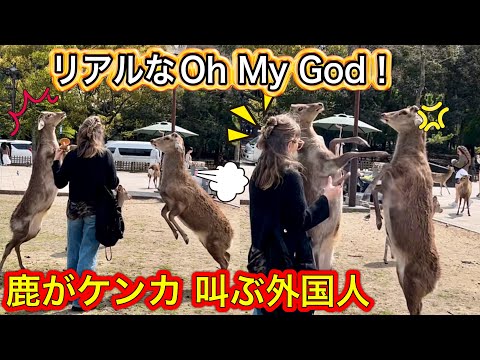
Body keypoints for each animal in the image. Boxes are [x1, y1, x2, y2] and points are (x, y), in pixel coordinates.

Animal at [0, 111, 66, 272]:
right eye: (49, 115)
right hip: (22, 229)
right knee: (8, 245)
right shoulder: (50, 155)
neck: (51, 144)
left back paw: (22, 266)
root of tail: (11, 223)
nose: (62, 113)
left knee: (16, 246)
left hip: (33, 232)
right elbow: (60, 151)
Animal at [150, 132, 232, 270]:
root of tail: (231, 237)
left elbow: (170, 215)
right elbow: (163, 213)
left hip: (213, 244)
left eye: (167, 138)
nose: (152, 140)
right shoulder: (168, 202)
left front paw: (185, 237)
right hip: (209, 244)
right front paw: (176, 234)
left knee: (224, 262)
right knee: (228, 256)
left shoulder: (182, 202)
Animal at [288, 102, 390, 270]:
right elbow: (349, 154)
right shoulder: (326, 165)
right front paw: (382, 153)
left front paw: (362, 141)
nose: (320, 104)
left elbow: (334, 140)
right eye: (300, 108)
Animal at [360, 105, 442, 316]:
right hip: (401, 276)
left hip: (412, 282)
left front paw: (368, 202)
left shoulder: (398, 181)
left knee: (415, 308)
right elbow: (377, 188)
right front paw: (378, 221)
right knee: (419, 306)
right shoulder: (388, 187)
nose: (383, 114)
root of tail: (435, 281)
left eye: (404, 112)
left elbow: (383, 170)